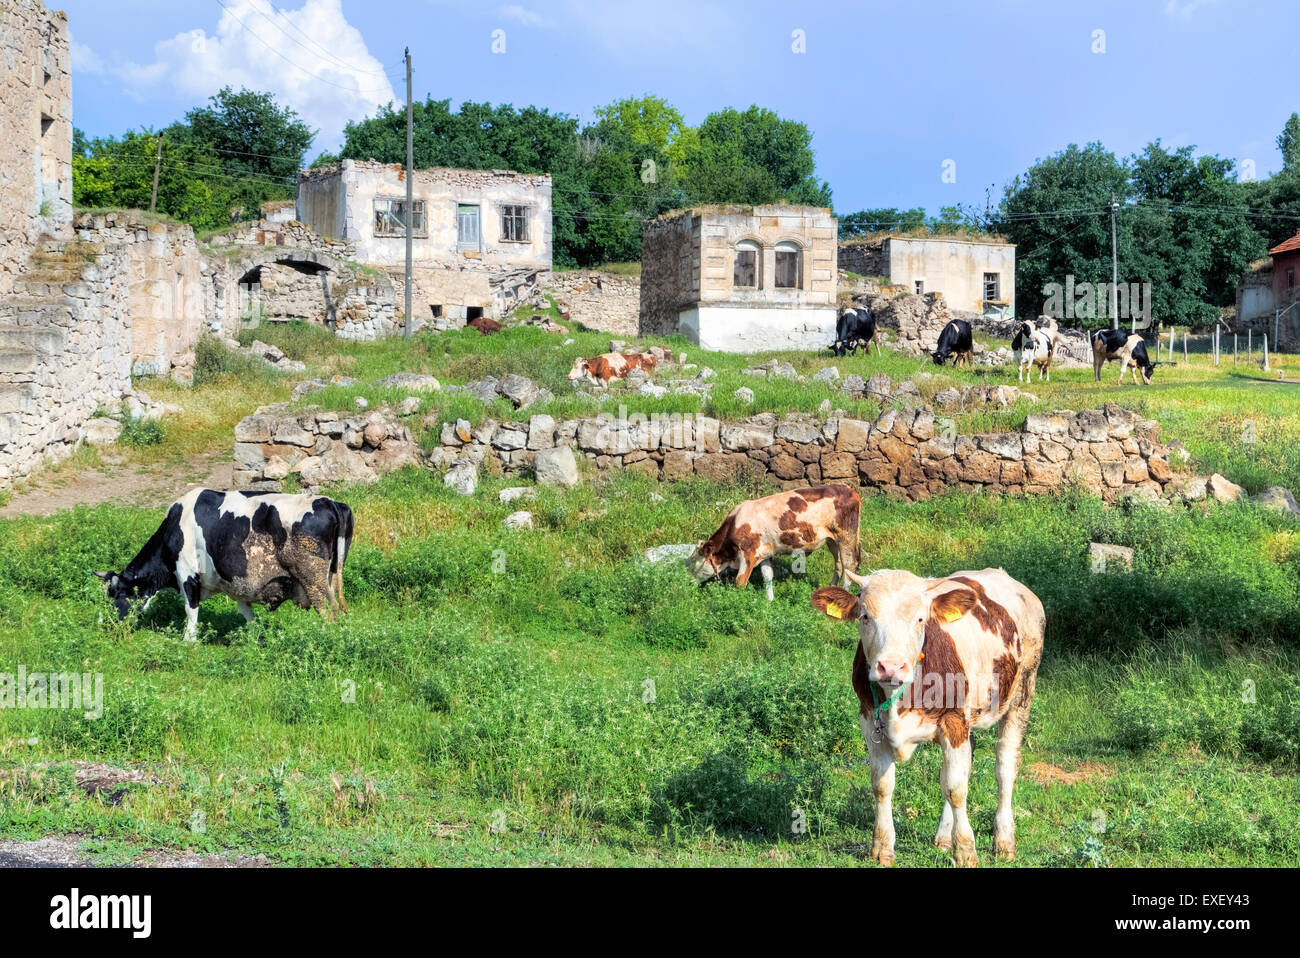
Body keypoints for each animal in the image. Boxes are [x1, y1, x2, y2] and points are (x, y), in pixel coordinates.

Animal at [94, 488, 356, 639]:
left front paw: (188, 642)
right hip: (332, 576)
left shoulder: (187, 573)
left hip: (314, 581)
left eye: (117, 594)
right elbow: (247, 615)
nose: (106, 625)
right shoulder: (240, 585)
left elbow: (191, 610)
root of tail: (330, 502)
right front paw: (255, 639)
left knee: (330, 613)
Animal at [691, 480, 863, 600]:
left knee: (849, 565)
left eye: (693, 562)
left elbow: (740, 582)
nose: (687, 580)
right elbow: (767, 576)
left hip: (846, 536)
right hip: (832, 540)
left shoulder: (748, 553)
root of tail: (849, 489)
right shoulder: (765, 551)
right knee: (839, 565)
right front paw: (770, 600)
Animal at [811, 566, 1045, 868]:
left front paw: (966, 850)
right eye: (865, 616)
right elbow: (882, 786)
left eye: (920, 619)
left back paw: (1004, 840)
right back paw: (944, 836)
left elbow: (956, 789)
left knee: (1004, 766)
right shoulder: (868, 720)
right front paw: (883, 848)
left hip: (1022, 691)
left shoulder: (954, 721)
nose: (891, 666)